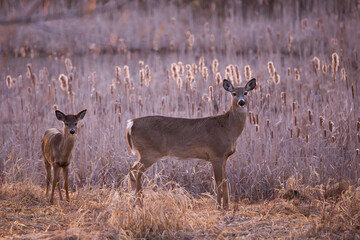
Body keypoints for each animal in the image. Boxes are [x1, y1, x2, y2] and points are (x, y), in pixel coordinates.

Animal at [126, 78, 256, 208]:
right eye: (234, 93)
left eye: (246, 92)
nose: (241, 102)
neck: (228, 128)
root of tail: (131, 123)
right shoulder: (216, 154)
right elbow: (218, 180)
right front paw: (219, 205)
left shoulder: (224, 157)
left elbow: (225, 180)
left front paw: (226, 205)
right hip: (148, 152)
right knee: (134, 170)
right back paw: (138, 201)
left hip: (146, 153)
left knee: (135, 171)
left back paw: (136, 201)